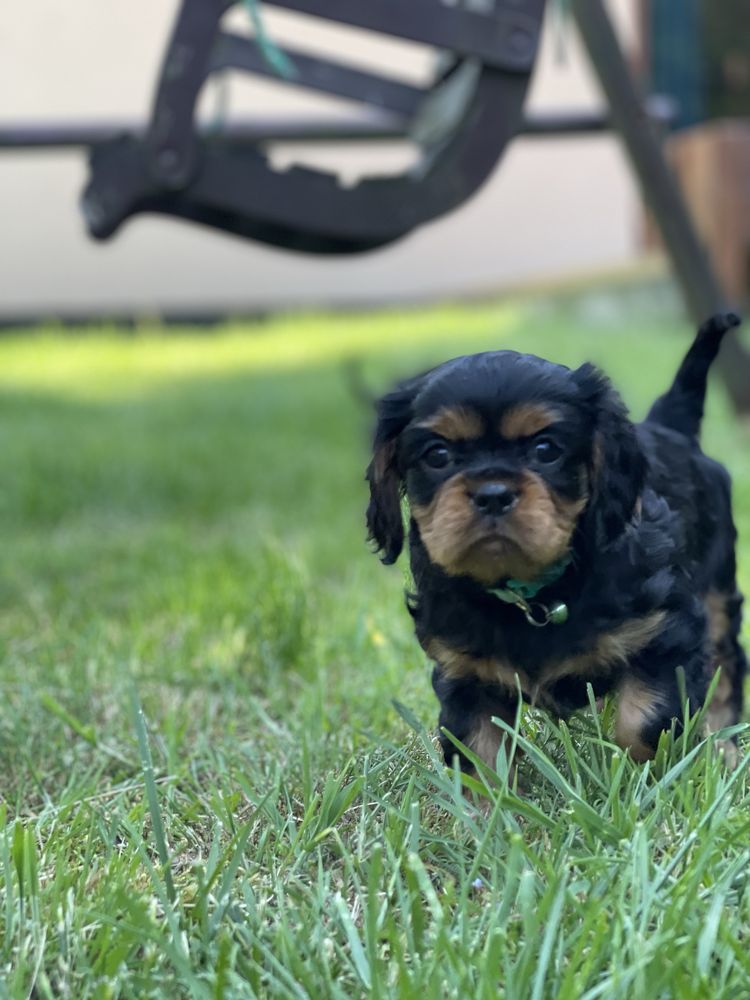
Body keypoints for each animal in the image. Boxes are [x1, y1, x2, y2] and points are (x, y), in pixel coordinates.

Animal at [366, 316, 748, 768]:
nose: (492, 493)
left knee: (726, 665)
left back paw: (724, 748)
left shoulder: (665, 631)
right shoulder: (465, 672)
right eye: (437, 455)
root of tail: (670, 425)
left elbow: (643, 722)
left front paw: (642, 774)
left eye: (546, 449)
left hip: (718, 591)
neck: (532, 591)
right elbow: (480, 752)